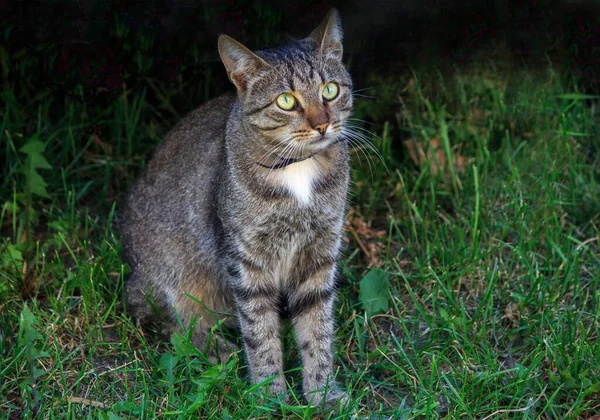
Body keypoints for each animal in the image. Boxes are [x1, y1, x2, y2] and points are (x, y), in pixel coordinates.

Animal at [120, 8, 352, 406]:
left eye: (330, 90)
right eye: (286, 101)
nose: (323, 125)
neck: (298, 171)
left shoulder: (319, 253)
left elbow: (317, 328)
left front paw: (321, 393)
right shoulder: (245, 259)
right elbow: (259, 332)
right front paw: (269, 393)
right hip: (171, 273)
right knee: (170, 321)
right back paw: (217, 349)